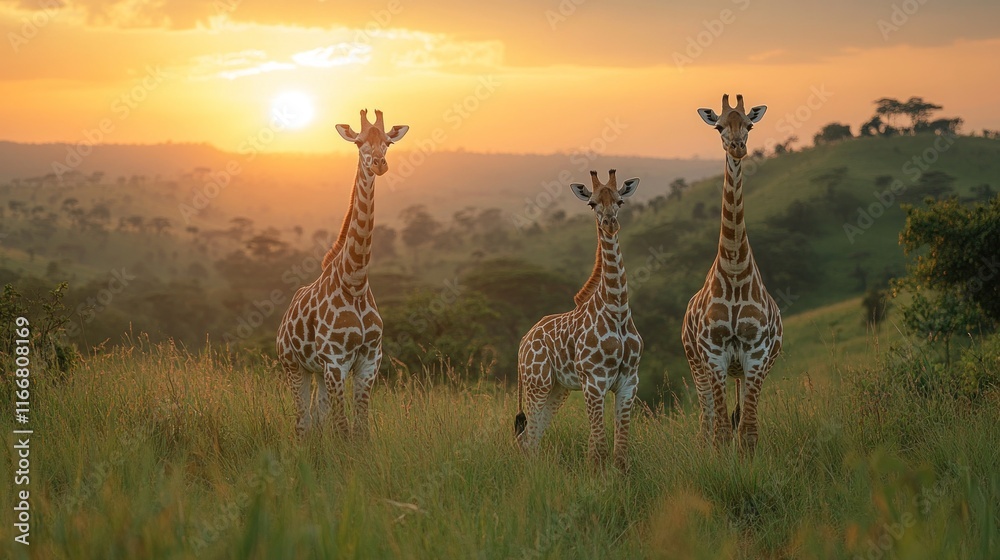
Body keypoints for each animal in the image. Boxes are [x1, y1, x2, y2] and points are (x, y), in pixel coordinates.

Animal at [276, 109, 408, 438]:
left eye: (388, 142)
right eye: (359, 142)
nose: (379, 163)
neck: (355, 281)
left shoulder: (368, 361)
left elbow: (359, 430)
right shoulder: (335, 361)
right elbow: (343, 428)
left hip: (317, 371)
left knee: (316, 415)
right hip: (293, 365)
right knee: (302, 421)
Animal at [515, 169, 643, 471]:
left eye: (620, 200)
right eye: (592, 203)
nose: (610, 224)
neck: (617, 309)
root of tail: (524, 341)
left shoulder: (629, 382)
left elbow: (620, 454)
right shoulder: (594, 381)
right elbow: (599, 450)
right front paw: (597, 478)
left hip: (557, 388)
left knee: (530, 437)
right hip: (537, 383)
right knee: (527, 438)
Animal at [681, 94, 783, 457]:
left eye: (750, 125)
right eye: (719, 126)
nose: (738, 147)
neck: (736, 271)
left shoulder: (756, 355)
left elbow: (748, 432)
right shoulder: (713, 355)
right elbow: (722, 433)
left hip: (743, 370)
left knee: (738, 420)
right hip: (697, 365)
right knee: (707, 421)